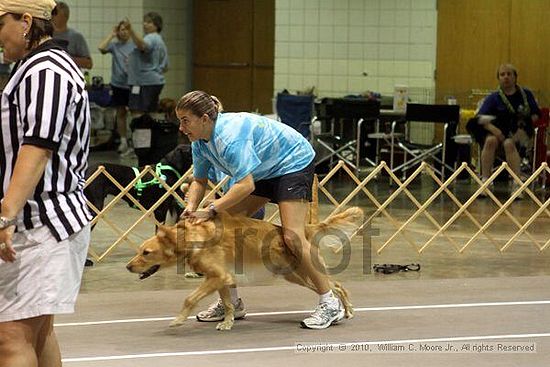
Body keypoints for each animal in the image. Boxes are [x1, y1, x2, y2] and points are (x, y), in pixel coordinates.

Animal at [127, 208, 364, 332]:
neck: (193, 240)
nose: (128, 266)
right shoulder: (222, 279)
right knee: (335, 285)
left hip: (304, 273)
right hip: (295, 276)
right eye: (139, 251)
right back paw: (344, 311)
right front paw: (228, 321)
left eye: (146, 252)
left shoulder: (217, 276)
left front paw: (178, 320)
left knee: (336, 286)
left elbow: (189, 298)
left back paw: (344, 311)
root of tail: (305, 228)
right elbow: (228, 304)